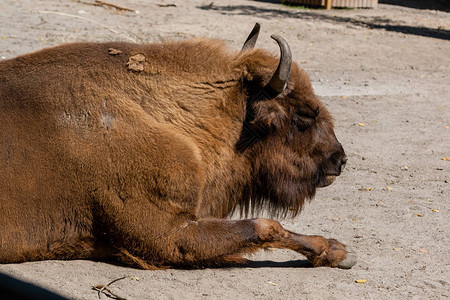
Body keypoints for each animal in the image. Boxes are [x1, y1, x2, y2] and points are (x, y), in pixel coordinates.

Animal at [0, 22, 356, 268]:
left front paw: (336, 250)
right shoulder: (167, 234)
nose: (339, 159)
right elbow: (266, 226)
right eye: (304, 116)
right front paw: (338, 252)